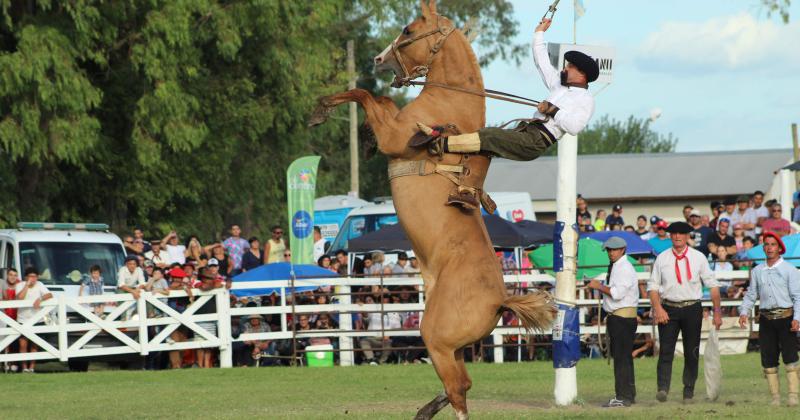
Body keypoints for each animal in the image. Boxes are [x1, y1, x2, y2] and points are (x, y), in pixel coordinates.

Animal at [308, 1, 556, 418]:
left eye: (408, 30)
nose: (379, 59)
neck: (449, 103)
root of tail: (500, 300)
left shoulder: (395, 135)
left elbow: (365, 95)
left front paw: (322, 109)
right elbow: (378, 100)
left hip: (436, 339)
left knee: (458, 390)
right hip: (452, 348)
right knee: (463, 384)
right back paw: (426, 408)